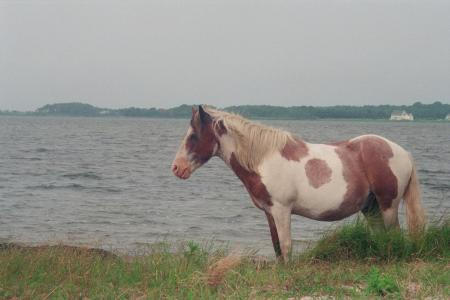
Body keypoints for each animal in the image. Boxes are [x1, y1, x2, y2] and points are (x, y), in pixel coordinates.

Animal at [171, 106, 426, 260]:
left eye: (193, 136)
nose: (176, 168)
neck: (264, 159)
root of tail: (402, 152)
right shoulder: (269, 212)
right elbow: (276, 247)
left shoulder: (282, 210)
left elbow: (286, 245)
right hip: (371, 207)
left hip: (388, 205)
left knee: (394, 235)